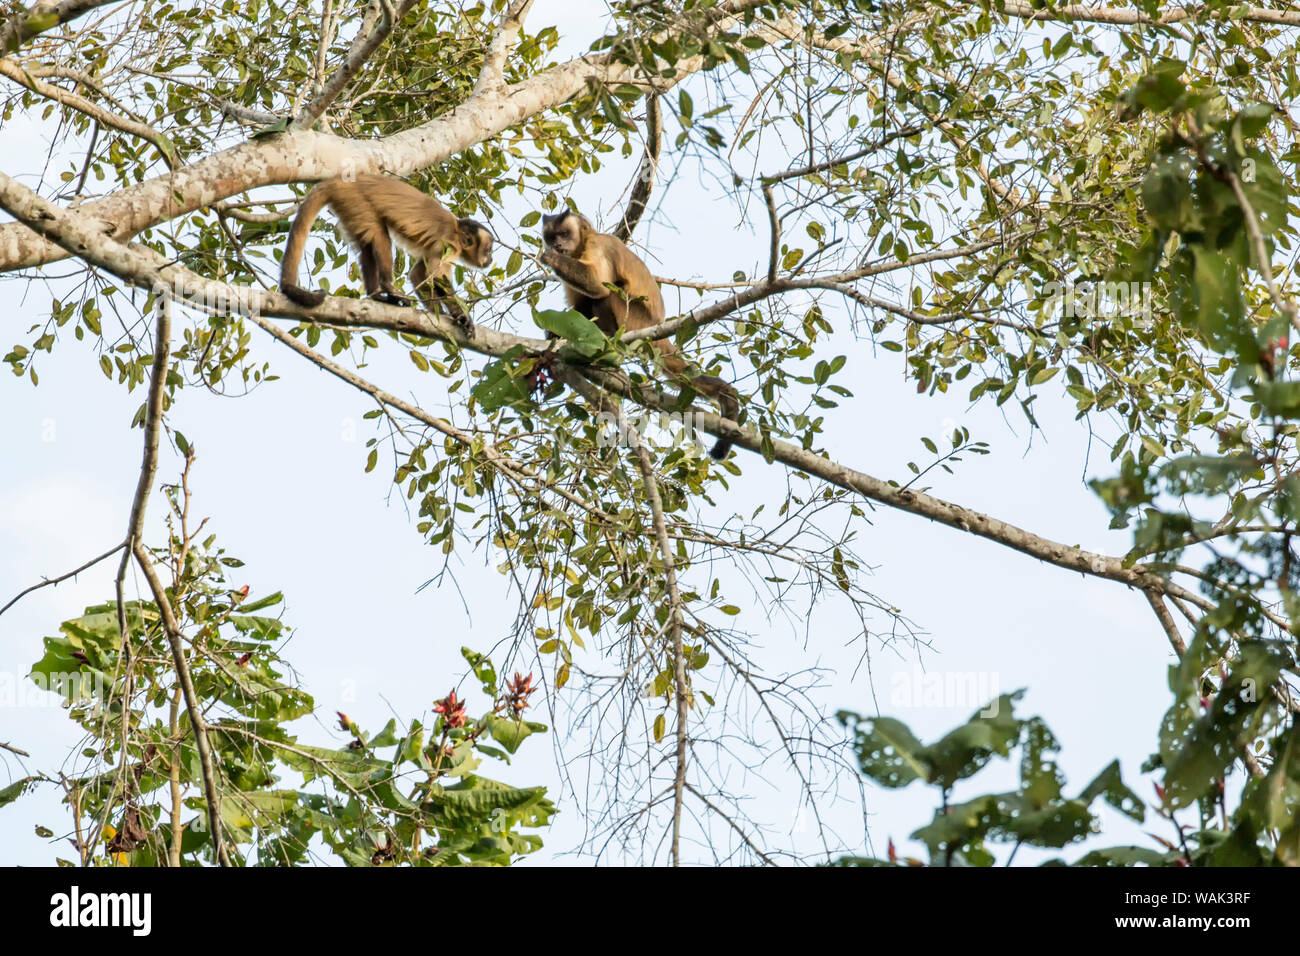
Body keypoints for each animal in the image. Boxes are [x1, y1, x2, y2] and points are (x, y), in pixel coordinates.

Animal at [280, 174, 491, 332]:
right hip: (355, 200)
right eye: (488, 249)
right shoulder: (450, 244)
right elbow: (434, 276)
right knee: (378, 233)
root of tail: (340, 180)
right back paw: (388, 286)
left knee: (366, 244)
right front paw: (462, 317)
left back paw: (375, 295)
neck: (456, 230)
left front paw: (439, 313)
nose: (490, 258)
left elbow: (418, 274)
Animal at [540, 210, 743, 463]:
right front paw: (554, 333)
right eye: (551, 236)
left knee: (606, 295)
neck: (582, 244)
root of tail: (657, 326)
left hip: (635, 319)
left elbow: (597, 285)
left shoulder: (599, 245)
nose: (556, 245)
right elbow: (580, 307)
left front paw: (551, 258)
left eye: (564, 234)